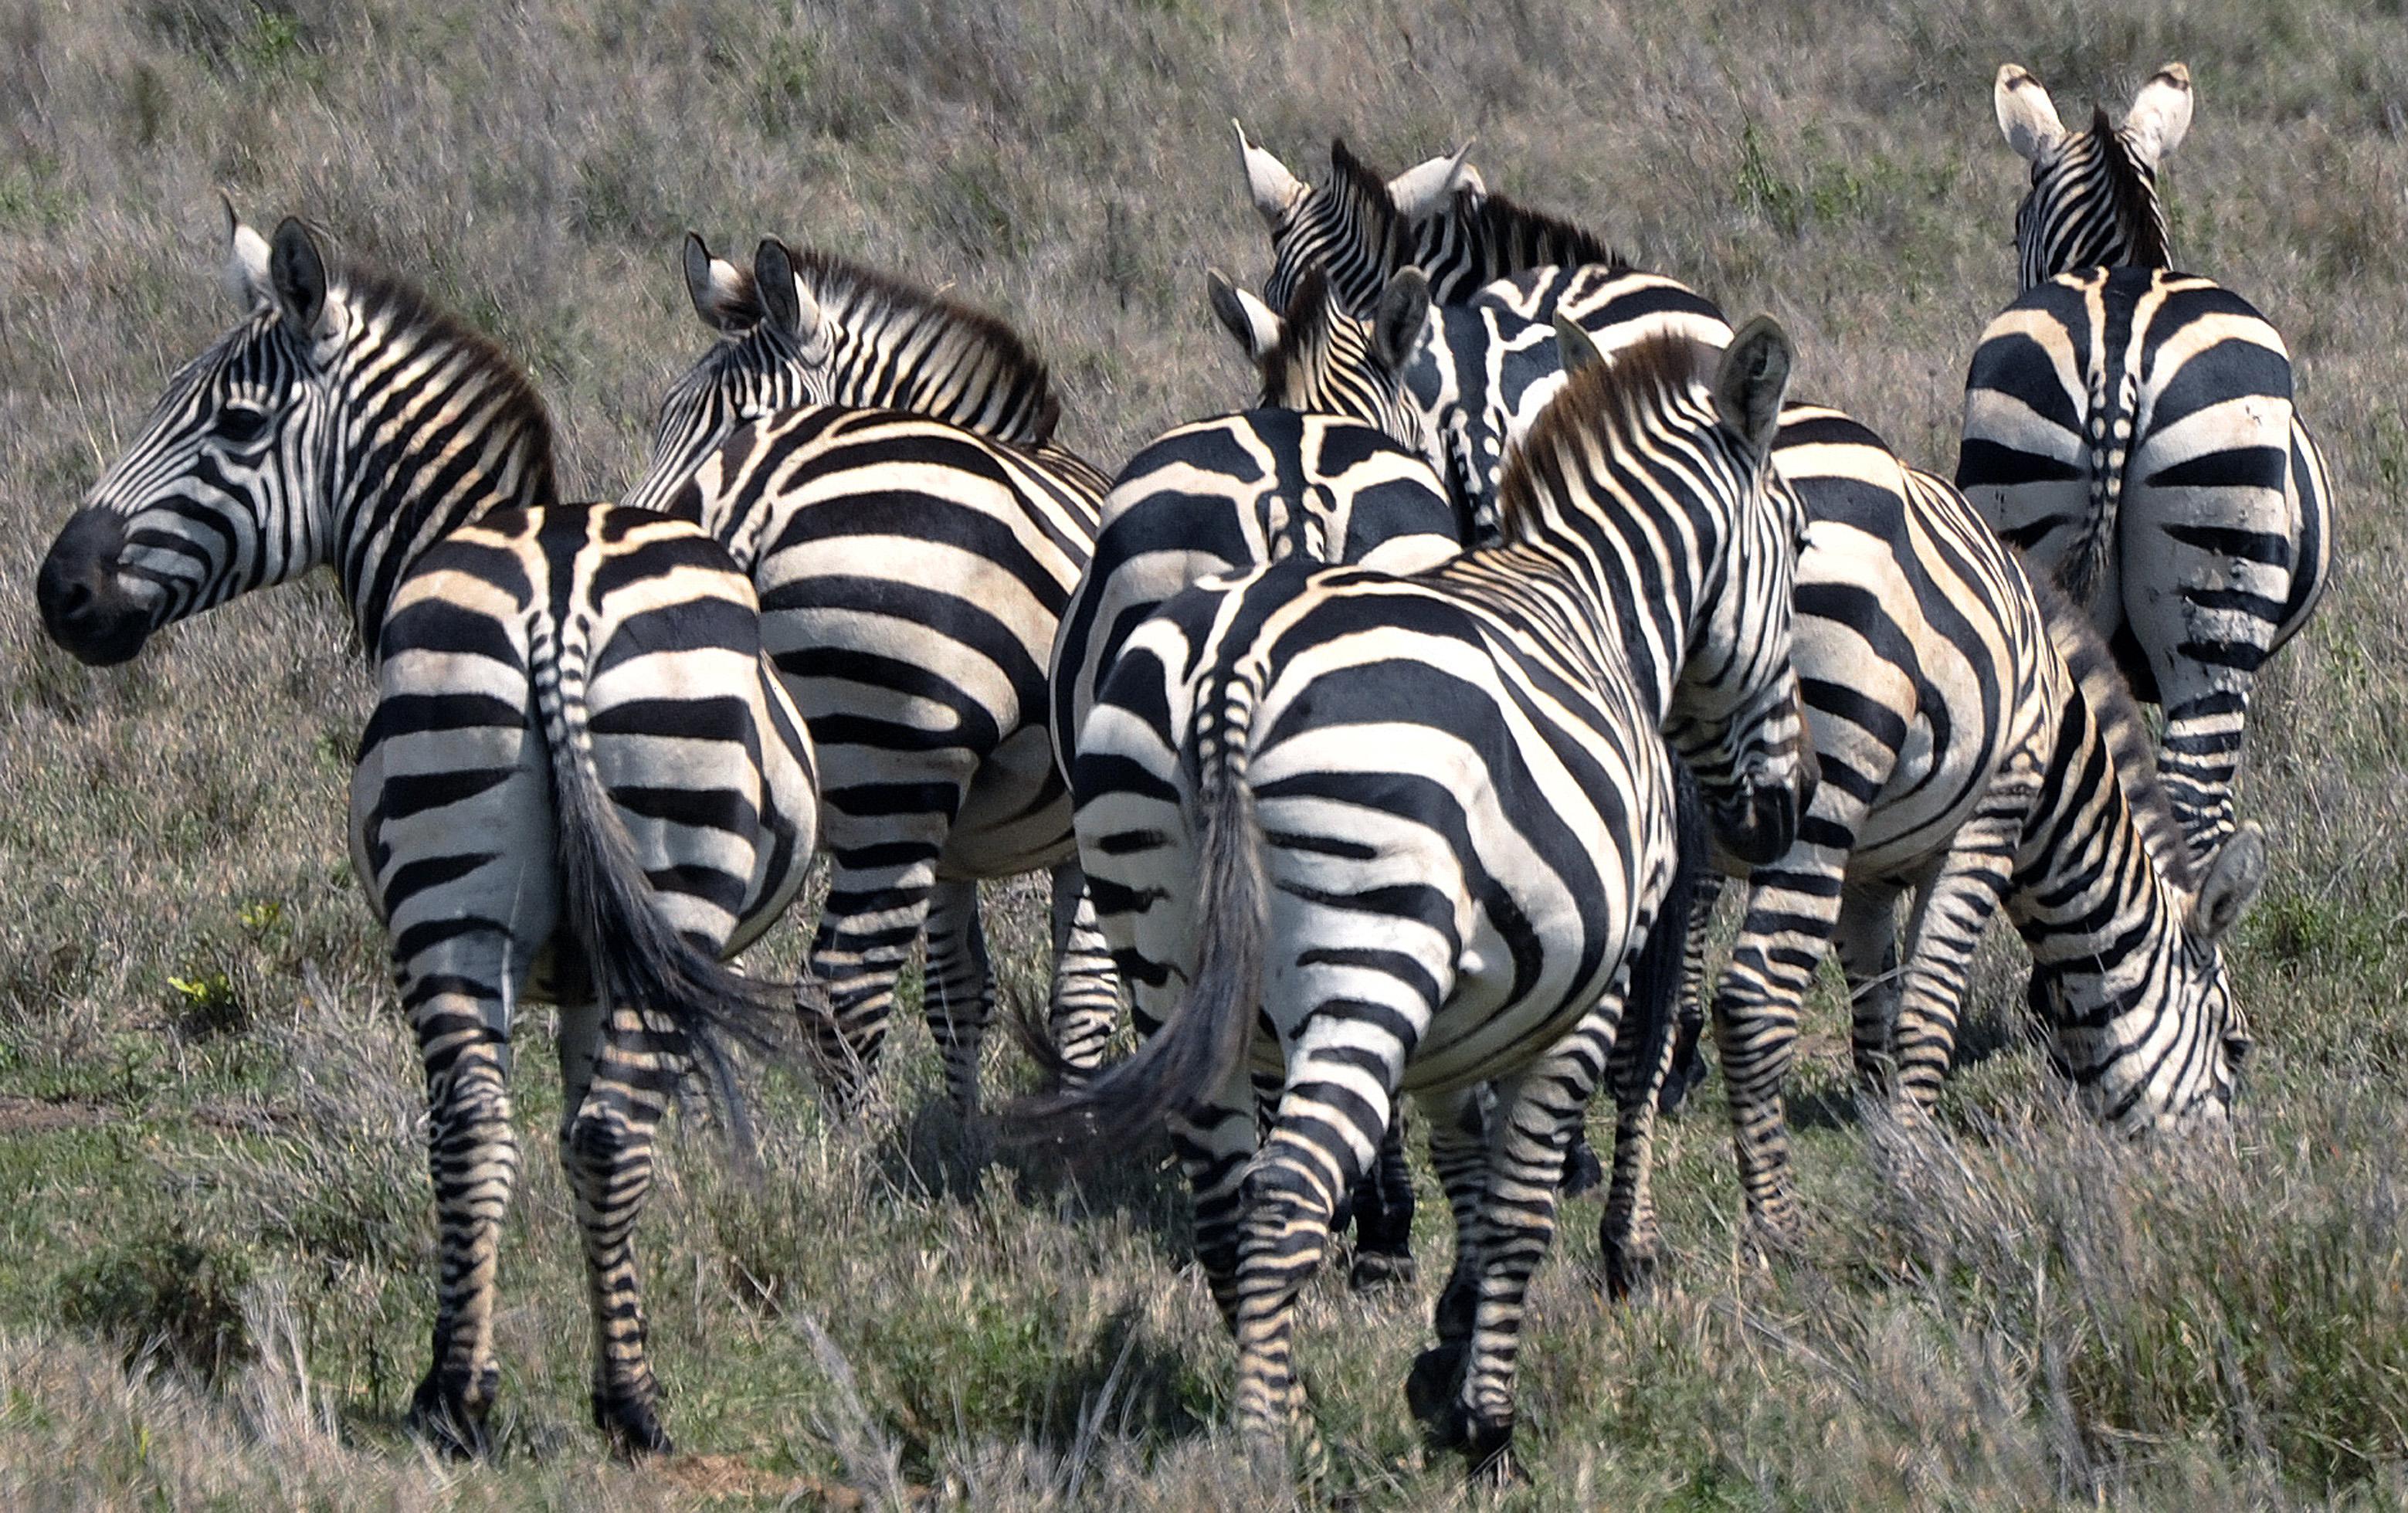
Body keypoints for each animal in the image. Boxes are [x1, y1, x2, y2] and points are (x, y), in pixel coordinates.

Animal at [35, 209, 819, 1455]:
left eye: (233, 422)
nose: (59, 592)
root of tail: (557, 597)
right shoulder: (603, 960)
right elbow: (587, 1131)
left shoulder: (578, 962)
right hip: (632, 888)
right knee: (590, 1130)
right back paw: (614, 1403)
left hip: (456, 891)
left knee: (479, 1126)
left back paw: (461, 1392)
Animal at [626, 236, 1112, 1113]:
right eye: (665, 423)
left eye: (737, 422)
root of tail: (747, 500)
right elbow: (1085, 994)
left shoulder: (963, 845)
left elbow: (960, 994)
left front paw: (964, 1134)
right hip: (894, 771)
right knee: (841, 991)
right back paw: (840, 1152)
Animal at [1026, 323, 1810, 1474]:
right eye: (1798, 543)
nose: (1778, 815)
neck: (1594, 599)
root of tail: (1234, 661)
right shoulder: (1592, 985)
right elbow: (1521, 1201)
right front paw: (1485, 1420)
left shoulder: (1471, 1007)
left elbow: (1469, 1170)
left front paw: (1446, 1350)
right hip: (1368, 961)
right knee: (1286, 1195)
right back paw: (1282, 1453)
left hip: (1166, 948)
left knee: (1225, 1206)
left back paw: (1282, 1399)